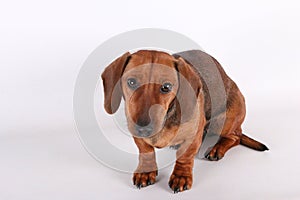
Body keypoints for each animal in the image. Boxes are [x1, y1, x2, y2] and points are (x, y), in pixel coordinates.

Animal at [102, 49, 268, 193]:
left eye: (166, 86)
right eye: (131, 82)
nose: (143, 129)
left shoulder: (194, 135)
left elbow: (184, 157)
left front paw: (181, 177)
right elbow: (146, 150)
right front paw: (146, 171)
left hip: (223, 122)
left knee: (235, 137)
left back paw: (217, 149)